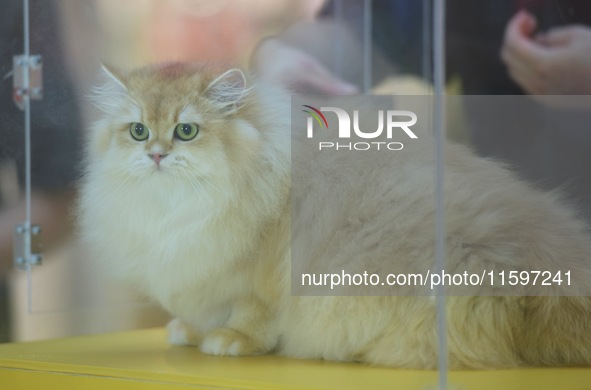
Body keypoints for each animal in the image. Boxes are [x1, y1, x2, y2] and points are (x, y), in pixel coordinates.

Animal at [77, 63, 591, 368]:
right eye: (138, 131)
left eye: (187, 131)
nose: (157, 154)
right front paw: (189, 330)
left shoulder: (254, 277)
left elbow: (252, 315)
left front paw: (230, 340)